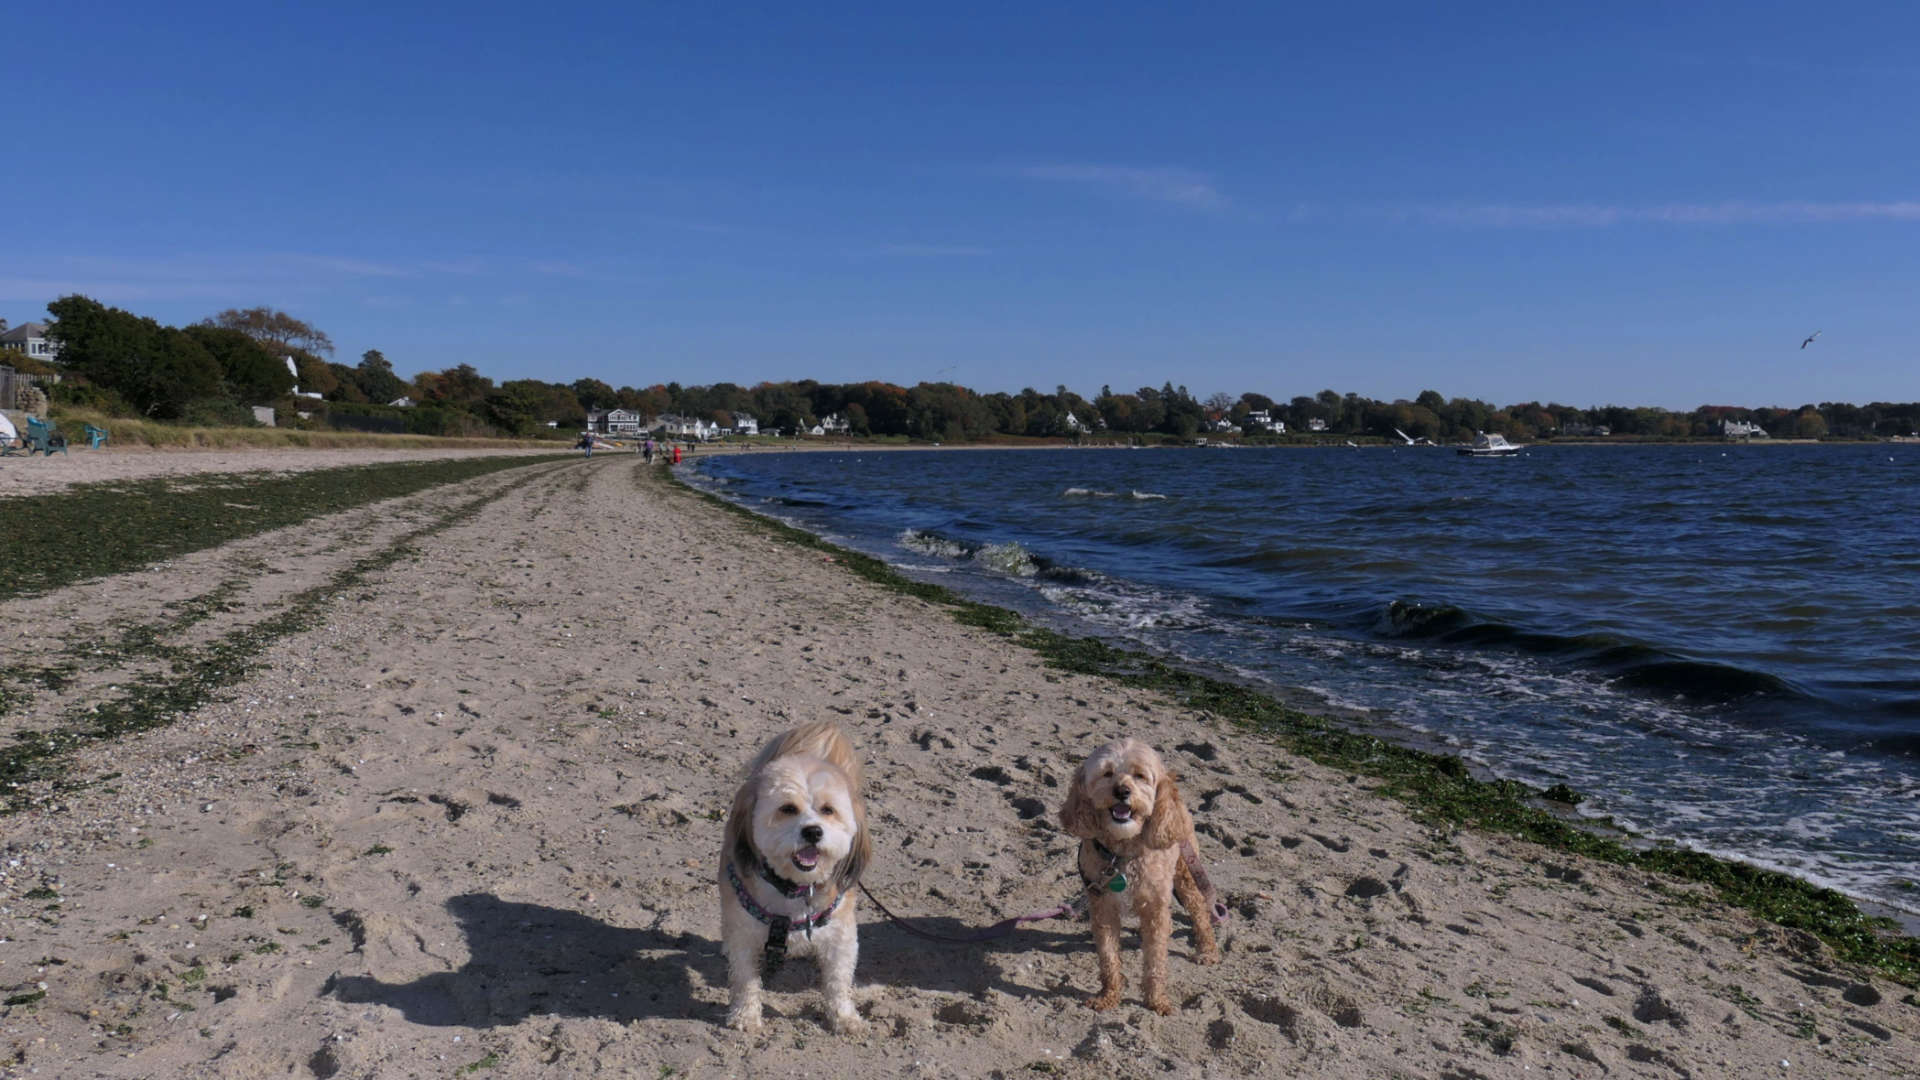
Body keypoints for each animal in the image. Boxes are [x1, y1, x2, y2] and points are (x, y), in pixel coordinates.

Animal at [721, 718, 871, 1030]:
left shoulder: (841, 936)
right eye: (788, 809)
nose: (813, 831)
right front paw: (745, 1016)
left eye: (828, 810)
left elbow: (838, 981)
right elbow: (745, 980)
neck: (794, 888)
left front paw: (844, 1018)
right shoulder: (744, 935)